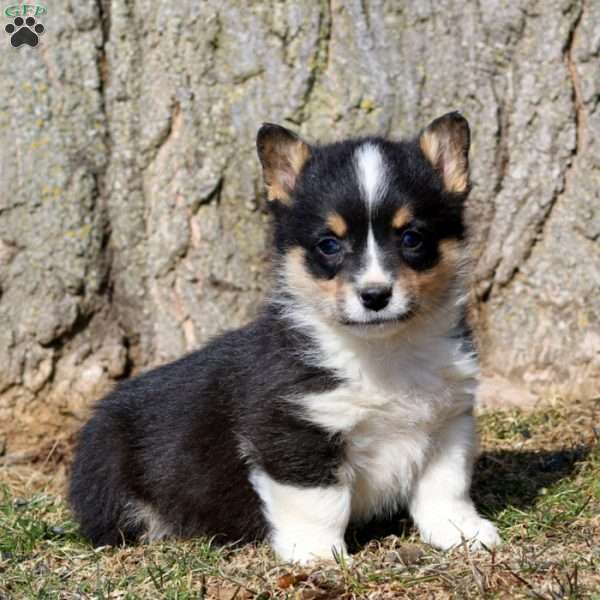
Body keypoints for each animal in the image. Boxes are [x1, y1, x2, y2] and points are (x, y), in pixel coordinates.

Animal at [69, 112, 502, 564]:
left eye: (412, 238)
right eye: (328, 244)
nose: (375, 296)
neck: (383, 351)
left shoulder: (447, 422)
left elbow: (446, 487)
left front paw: (463, 533)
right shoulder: (294, 430)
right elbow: (320, 502)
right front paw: (319, 556)